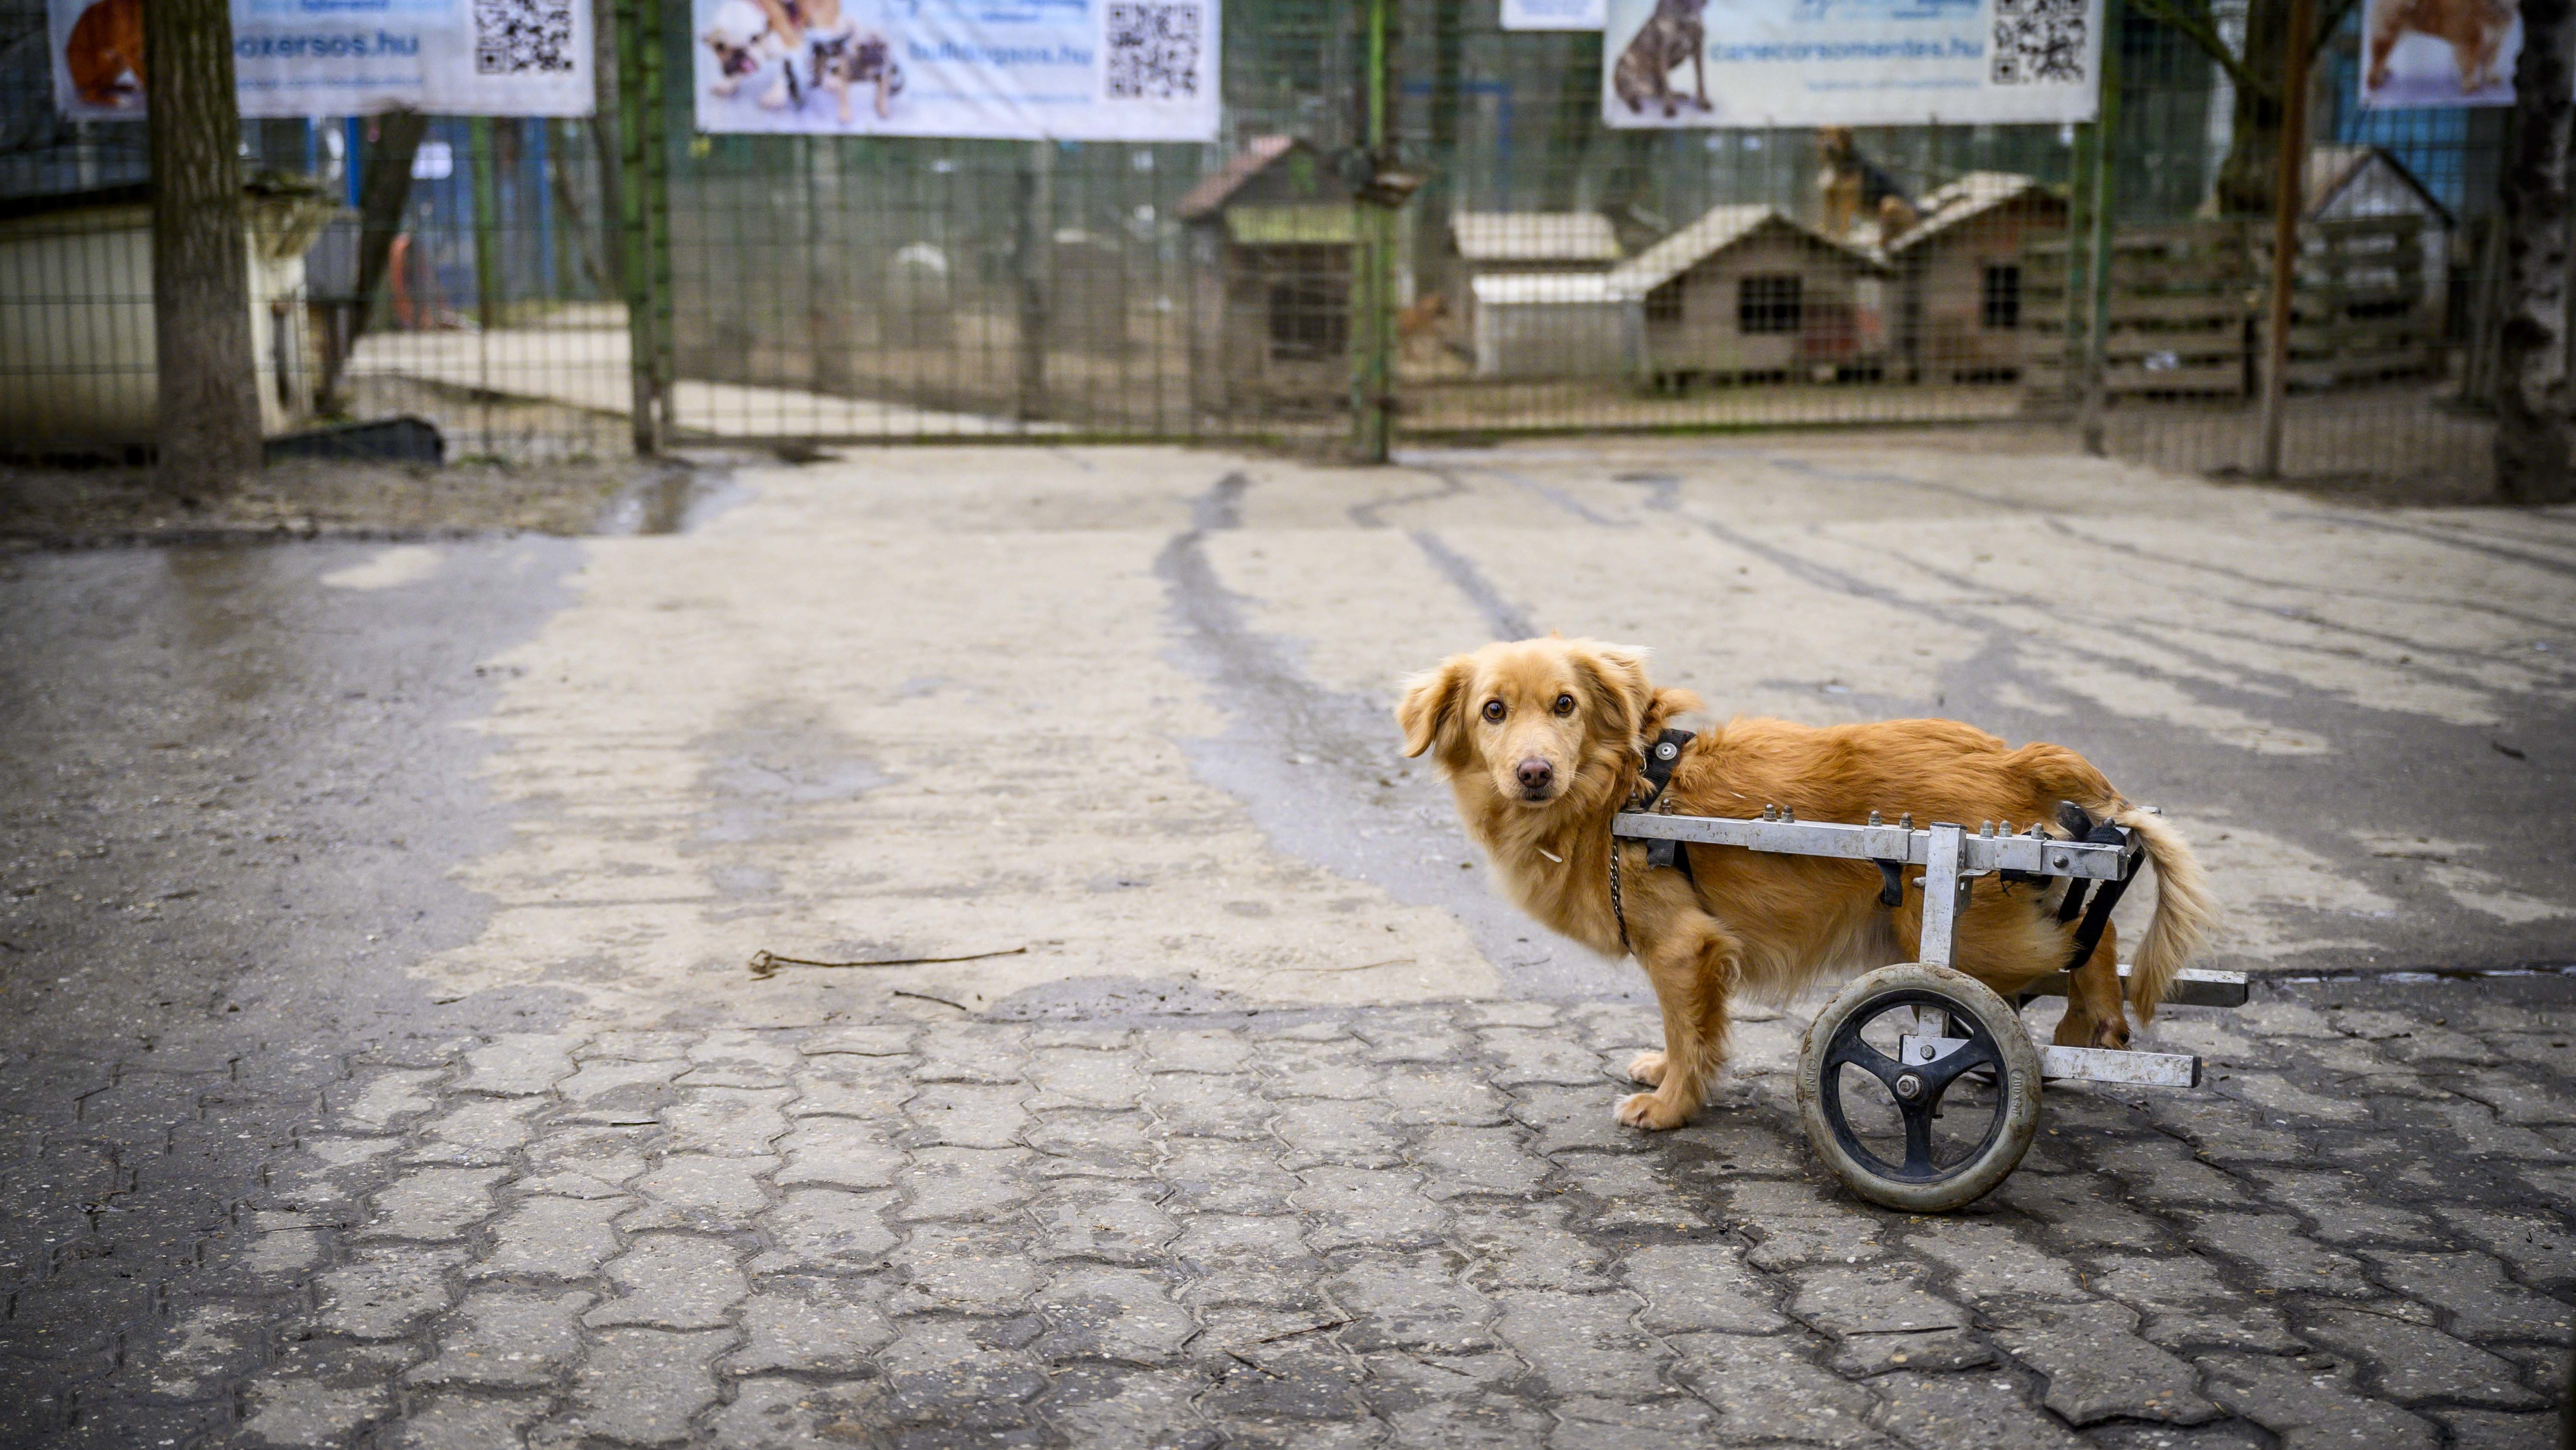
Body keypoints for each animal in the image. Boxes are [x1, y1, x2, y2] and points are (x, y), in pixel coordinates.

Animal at [1401, 638, 2225, 1133]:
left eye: (1564, 705)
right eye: (1493, 711)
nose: (1533, 772)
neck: (1619, 792)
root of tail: (2013, 758)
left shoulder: (1682, 948)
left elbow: (1688, 1030)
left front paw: (1670, 1105)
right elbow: (1684, 1030)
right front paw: (1665, 1074)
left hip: (1968, 939)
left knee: (2090, 939)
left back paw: (2090, 1022)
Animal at [1607, 0, 1710, 118]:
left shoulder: (1698, 48)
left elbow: (1700, 79)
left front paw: (1703, 103)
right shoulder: (1663, 53)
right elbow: (1667, 84)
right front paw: (1670, 109)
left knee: (1659, 92)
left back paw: (1678, 95)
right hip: (1623, 63)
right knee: (1627, 95)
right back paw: (1635, 106)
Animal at [2370, 0, 2514, 93]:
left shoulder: (2495, 40)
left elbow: (2490, 62)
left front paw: (2491, 78)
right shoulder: (2472, 40)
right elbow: (2470, 65)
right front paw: (2471, 85)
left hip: (2398, 35)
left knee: (2383, 58)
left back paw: (2384, 72)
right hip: (2388, 35)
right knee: (2377, 59)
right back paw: (2374, 82)